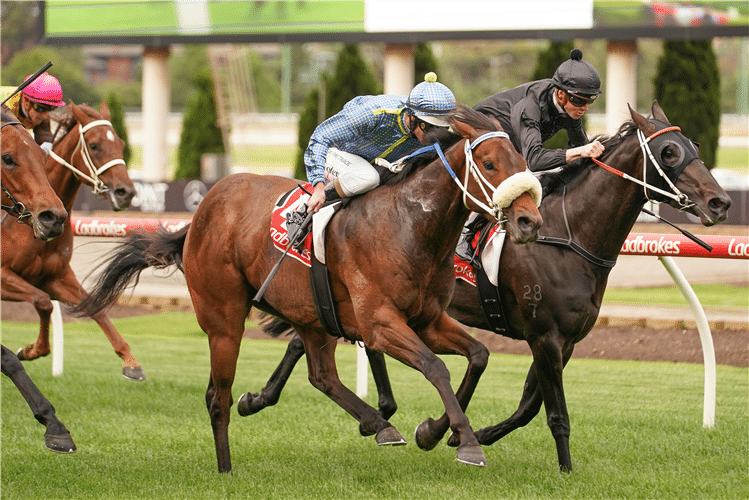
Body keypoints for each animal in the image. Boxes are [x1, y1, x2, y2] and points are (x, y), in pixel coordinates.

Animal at [1, 103, 143, 380]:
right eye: (95, 145)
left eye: (121, 143)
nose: (126, 192)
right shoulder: (3, 276)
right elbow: (43, 302)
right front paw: (31, 350)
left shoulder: (55, 277)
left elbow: (94, 307)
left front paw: (130, 361)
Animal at [76, 105, 540, 472]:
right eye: (491, 164)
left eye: (520, 158)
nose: (529, 221)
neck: (409, 226)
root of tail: (201, 212)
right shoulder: (380, 324)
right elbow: (436, 367)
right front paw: (467, 442)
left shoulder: (427, 319)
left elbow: (477, 356)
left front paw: (434, 431)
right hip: (223, 319)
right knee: (217, 396)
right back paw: (226, 468)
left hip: (312, 314)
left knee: (322, 375)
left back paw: (377, 424)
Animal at [229, 100, 732, 472]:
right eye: (668, 153)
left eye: (694, 144)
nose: (720, 202)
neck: (570, 236)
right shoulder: (544, 335)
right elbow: (553, 412)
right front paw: (563, 468)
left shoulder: (565, 340)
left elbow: (527, 405)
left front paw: (460, 433)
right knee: (314, 340)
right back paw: (274, 400)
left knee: (316, 339)